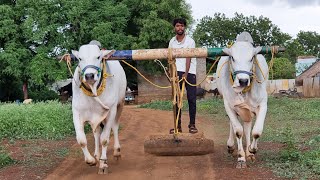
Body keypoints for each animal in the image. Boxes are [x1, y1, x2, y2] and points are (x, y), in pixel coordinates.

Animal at [72, 44, 127, 174]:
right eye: (80, 58)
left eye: (98, 57)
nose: (89, 76)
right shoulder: (77, 113)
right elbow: (81, 140)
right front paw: (91, 160)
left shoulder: (111, 111)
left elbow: (105, 139)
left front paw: (103, 164)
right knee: (96, 132)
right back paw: (96, 155)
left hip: (120, 105)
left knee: (115, 127)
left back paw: (116, 151)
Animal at [216, 32, 268, 169]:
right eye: (233, 58)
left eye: (251, 58)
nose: (243, 81)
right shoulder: (228, 105)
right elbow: (238, 131)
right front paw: (241, 158)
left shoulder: (263, 104)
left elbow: (256, 131)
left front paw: (252, 150)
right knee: (234, 124)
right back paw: (231, 146)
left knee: (248, 125)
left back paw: (249, 152)